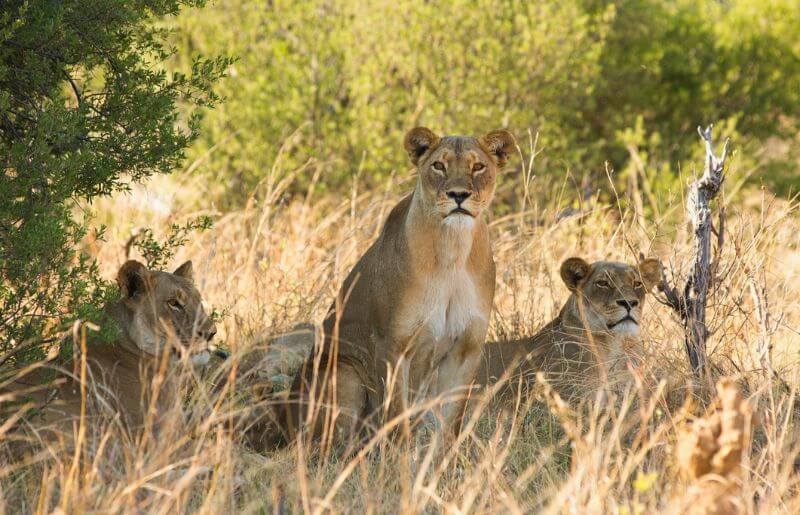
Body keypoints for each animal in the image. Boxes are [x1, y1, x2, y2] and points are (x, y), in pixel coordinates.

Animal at [265, 127, 516, 447]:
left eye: (478, 167)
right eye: (439, 166)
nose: (458, 195)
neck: (453, 251)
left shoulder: (465, 350)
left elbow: (450, 423)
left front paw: (444, 458)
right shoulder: (394, 346)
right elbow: (397, 416)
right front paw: (401, 458)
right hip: (344, 372)